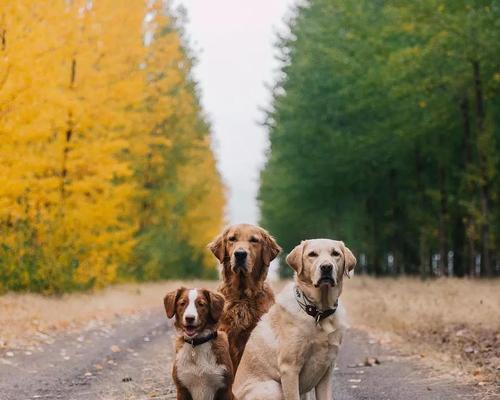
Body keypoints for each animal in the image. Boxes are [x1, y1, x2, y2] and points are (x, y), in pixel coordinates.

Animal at [233, 239, 356, 398]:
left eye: (335, 253)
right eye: (312, 254)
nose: (326, 267)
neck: (318, 312)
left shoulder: (327, 370)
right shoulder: (289, 368)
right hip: (274, 387)